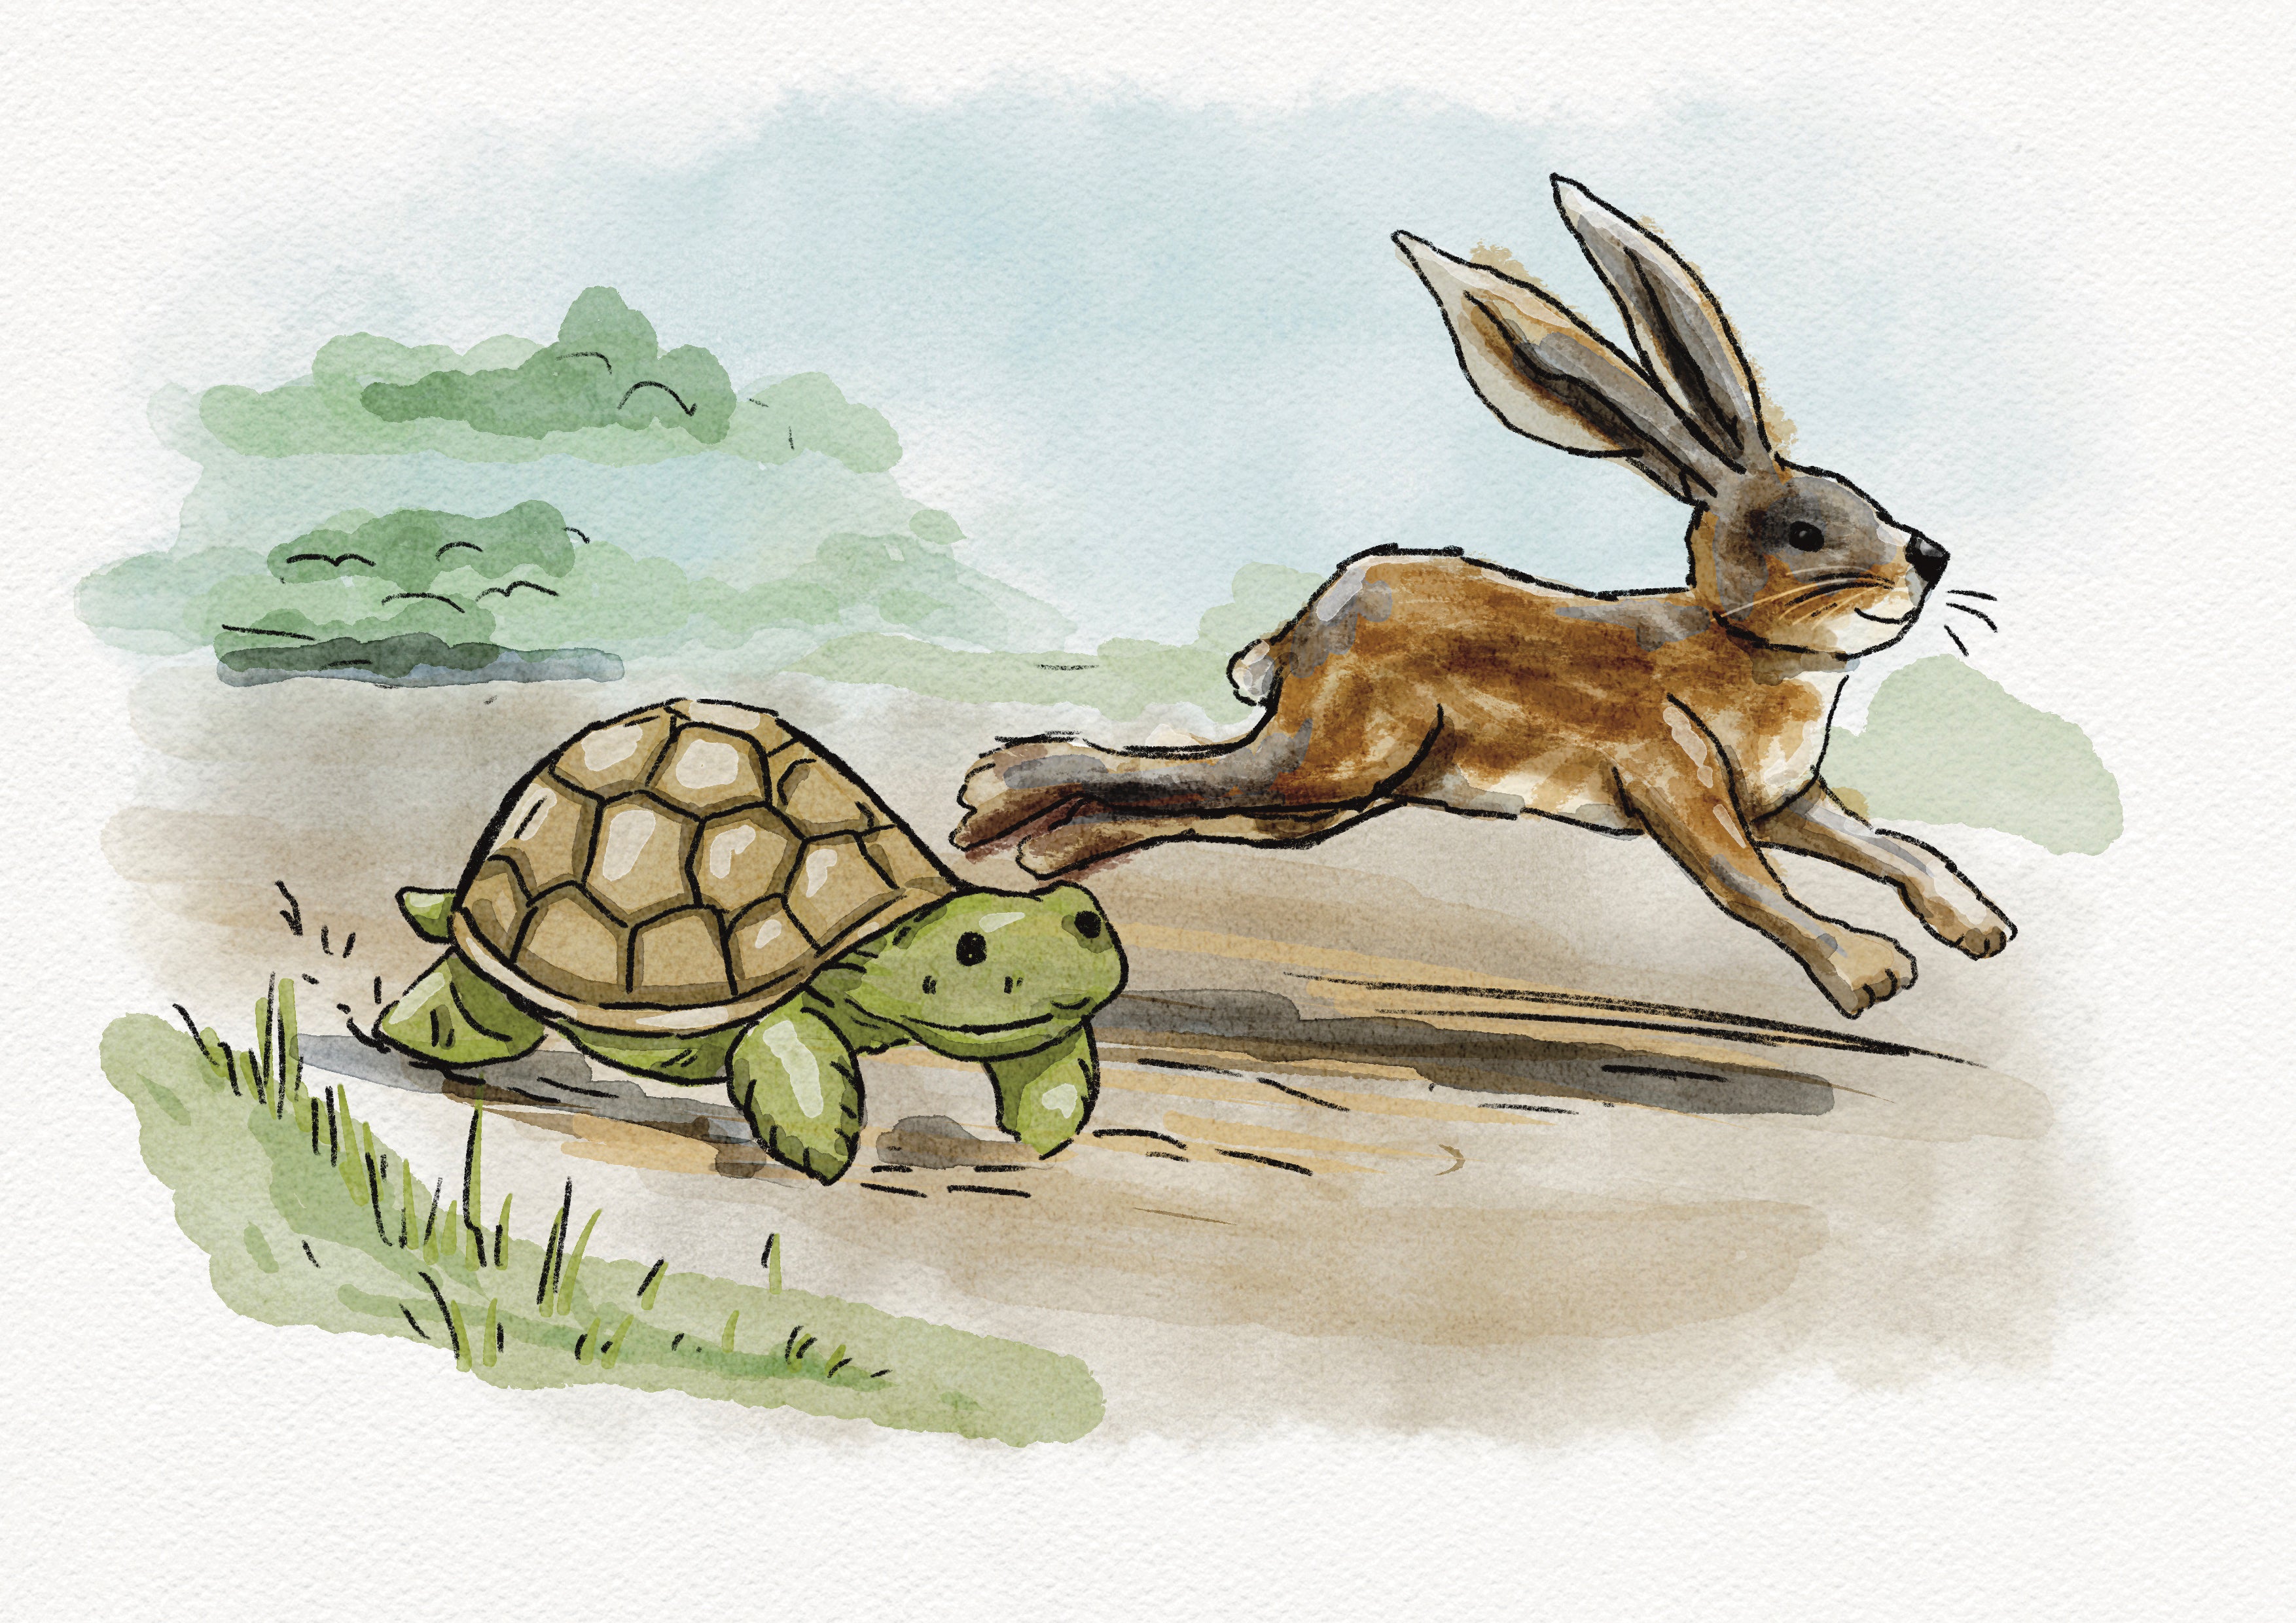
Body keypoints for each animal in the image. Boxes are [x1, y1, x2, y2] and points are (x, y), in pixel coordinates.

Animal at [950, 175, 2012, 1018]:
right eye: (1804, 534)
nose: (1929, 557)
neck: (1741, 644)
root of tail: (1305, 625)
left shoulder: (1789, 800)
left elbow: (1895, 846)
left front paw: (1980, 927)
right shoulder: (1675, 779)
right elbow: (1750, 883)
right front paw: (1867, 971)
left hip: (1343, 794)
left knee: (1204, 804)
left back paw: (1050, 852)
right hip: (1334, 757)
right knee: (1172, 772)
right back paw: (994, 794)